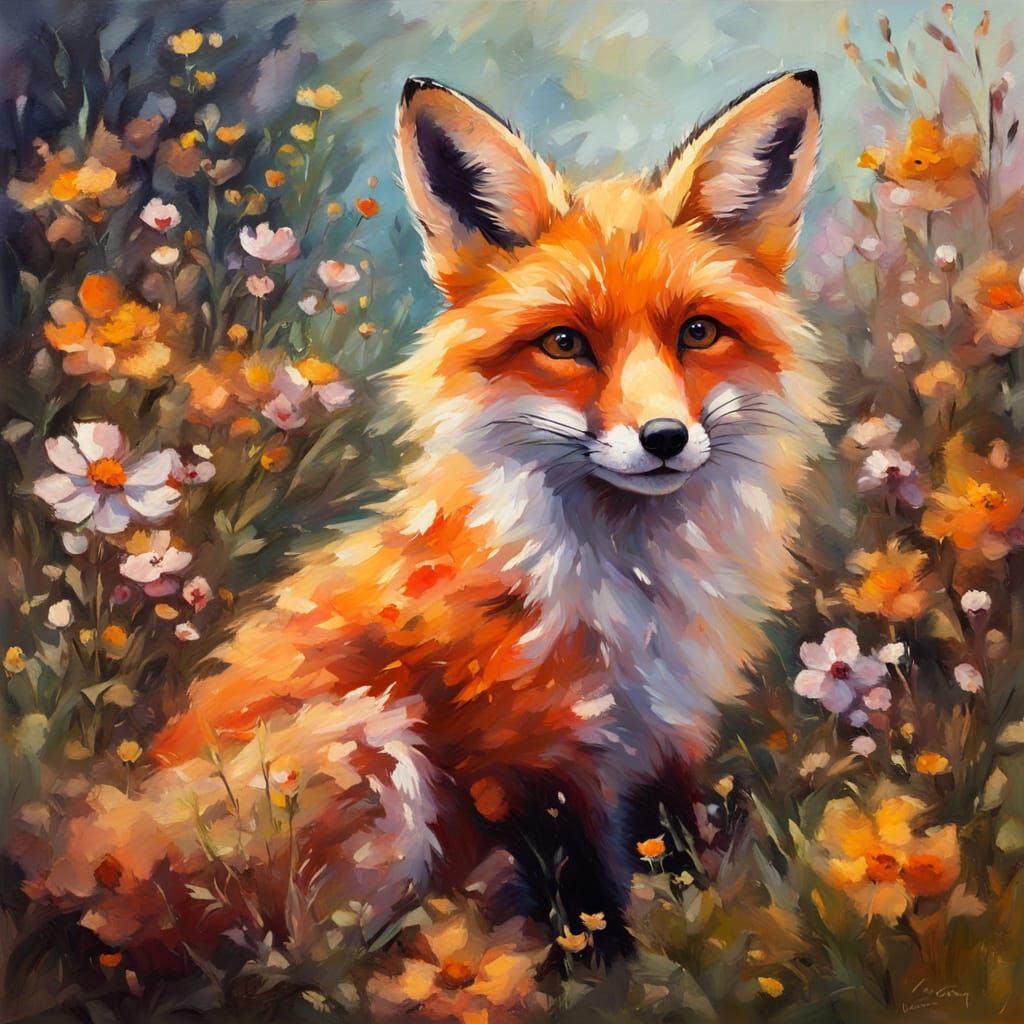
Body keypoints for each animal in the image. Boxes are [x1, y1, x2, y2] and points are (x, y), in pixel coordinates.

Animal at [17, 71, 832, 965]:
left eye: (698, 332)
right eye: (564, 344)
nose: (663, 439)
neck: (628, 590)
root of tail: (75, 877)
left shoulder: (664, 735)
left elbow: (679, 869)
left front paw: (698, 947)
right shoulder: (518, 753)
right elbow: (583, 905)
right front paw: (608, 970)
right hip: (373, 748)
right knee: (304, 960)